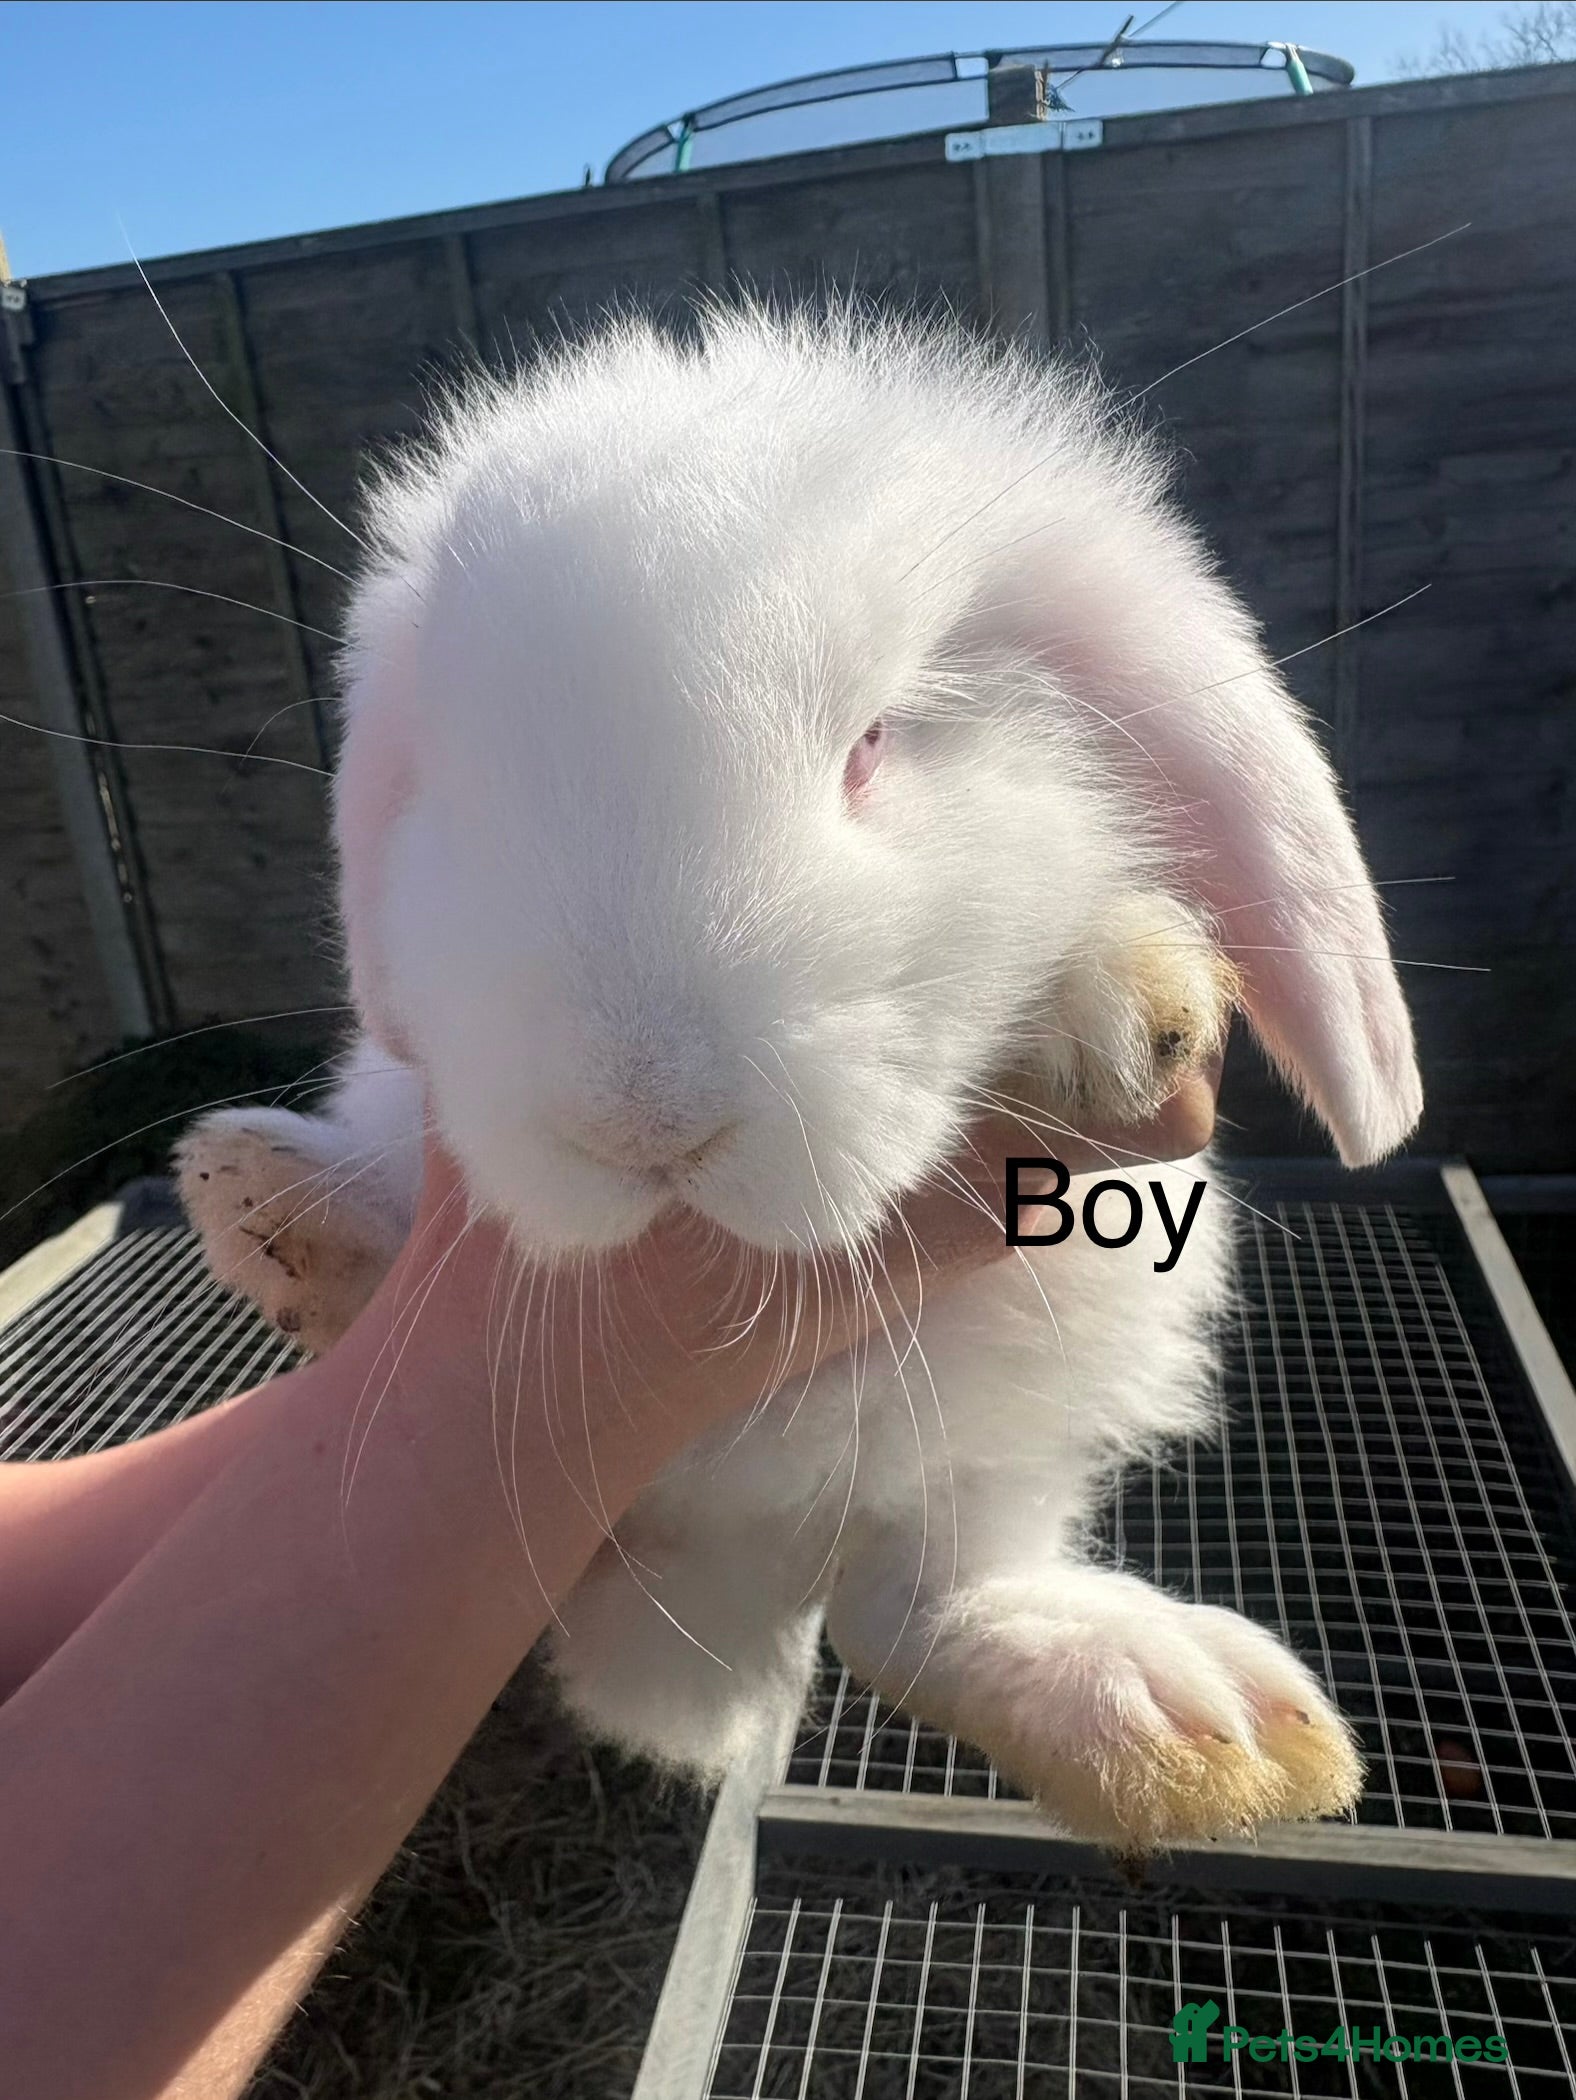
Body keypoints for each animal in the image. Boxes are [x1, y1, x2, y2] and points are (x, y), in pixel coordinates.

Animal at [175, 303, 1421, 1851]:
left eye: (876, 742)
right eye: (458, 791)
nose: (642, 1119)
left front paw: (1122, 996)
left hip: (1032, 1402)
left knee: (926, 1601)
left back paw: (1181, 1717)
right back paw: (280, 1210)